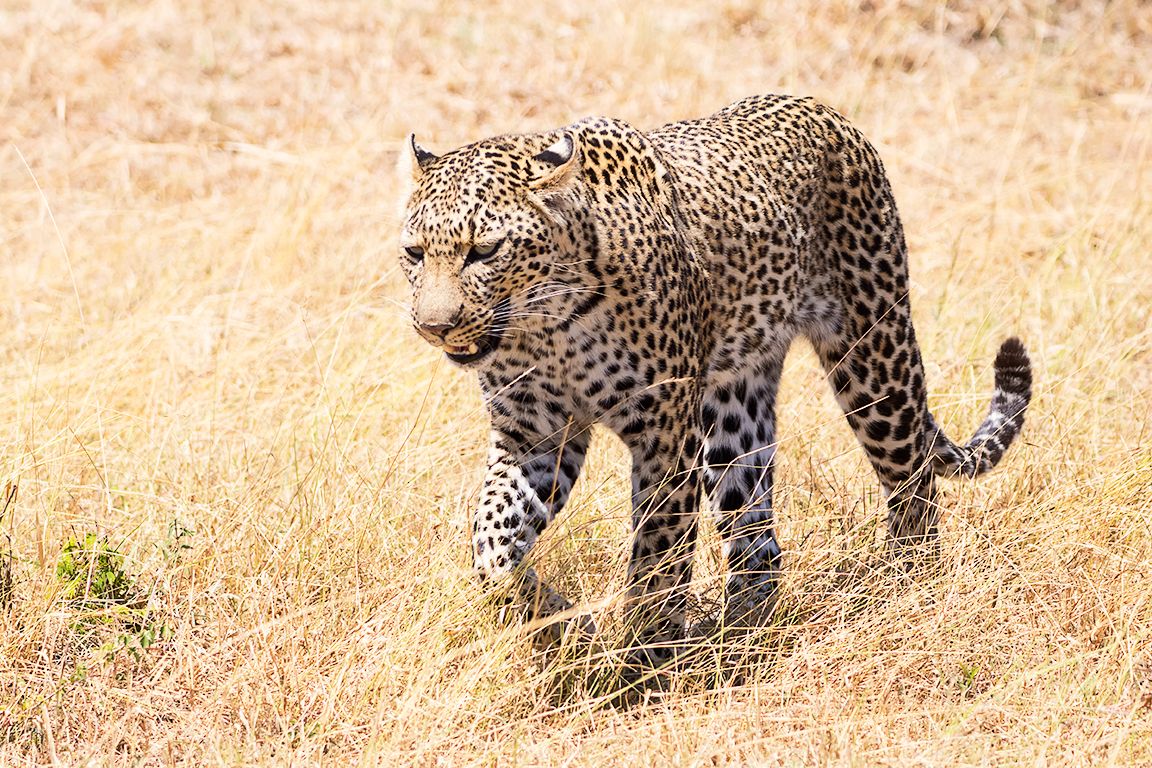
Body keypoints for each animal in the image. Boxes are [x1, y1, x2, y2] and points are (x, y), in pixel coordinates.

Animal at [395, 94, 1032, 662]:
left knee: (913, 484)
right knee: (759, 539)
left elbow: (658, 557)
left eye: (484, 250)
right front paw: (549, 617)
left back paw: (908, 590)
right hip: (733, 409)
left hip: (873, 361)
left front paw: (642, 664)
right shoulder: (535, 436)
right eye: (414, 252)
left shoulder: (663, 436)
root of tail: (828, 111)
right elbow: (491, 542)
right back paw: (741, 636)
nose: (434, 326)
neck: (546, 325)